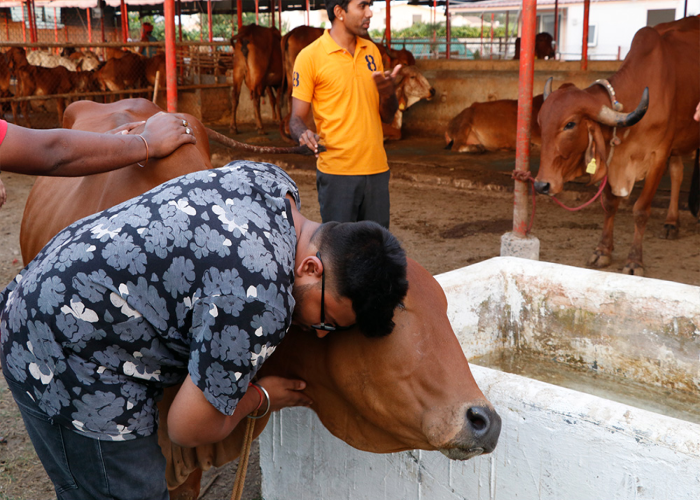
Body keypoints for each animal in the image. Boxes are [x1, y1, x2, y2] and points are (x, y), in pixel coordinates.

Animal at [532, 17, 696, 276]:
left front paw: (634, 261)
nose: (541, 185)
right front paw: (603, 251)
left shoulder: (658, 156)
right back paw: (671, 223)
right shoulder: (612, 157)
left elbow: (641, 210)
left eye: (570, 124)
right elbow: (610, 205)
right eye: (541, 122)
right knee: (678, 173)